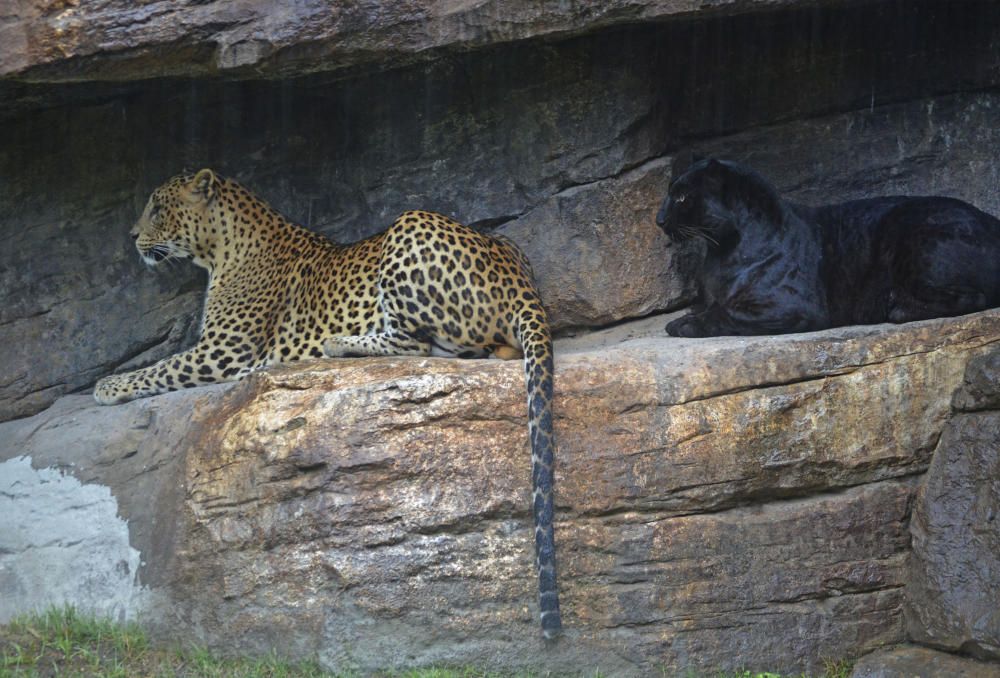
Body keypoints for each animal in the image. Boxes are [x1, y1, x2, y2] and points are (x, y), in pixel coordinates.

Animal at [94, 171, 564, 644]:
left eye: (158, 208)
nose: (132, 236)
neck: (221, 247)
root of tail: (520, 279)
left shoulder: (222, 352)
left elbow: (160, 367)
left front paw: (107, 385)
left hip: (410, 226)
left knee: (418, 342)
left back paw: (338, 344)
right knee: (488, 349)